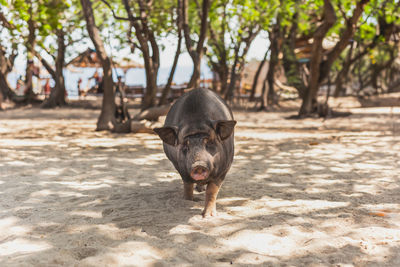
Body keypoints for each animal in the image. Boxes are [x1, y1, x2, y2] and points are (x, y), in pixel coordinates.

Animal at [152, 88, 234, 218]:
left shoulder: (225, 167)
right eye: (185, 144)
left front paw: (208, 216)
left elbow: (212, 190)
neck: (196, 125)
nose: (198, 165)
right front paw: (189, 200)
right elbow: (187, 185)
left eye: (209, 142)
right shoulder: (180, 168)